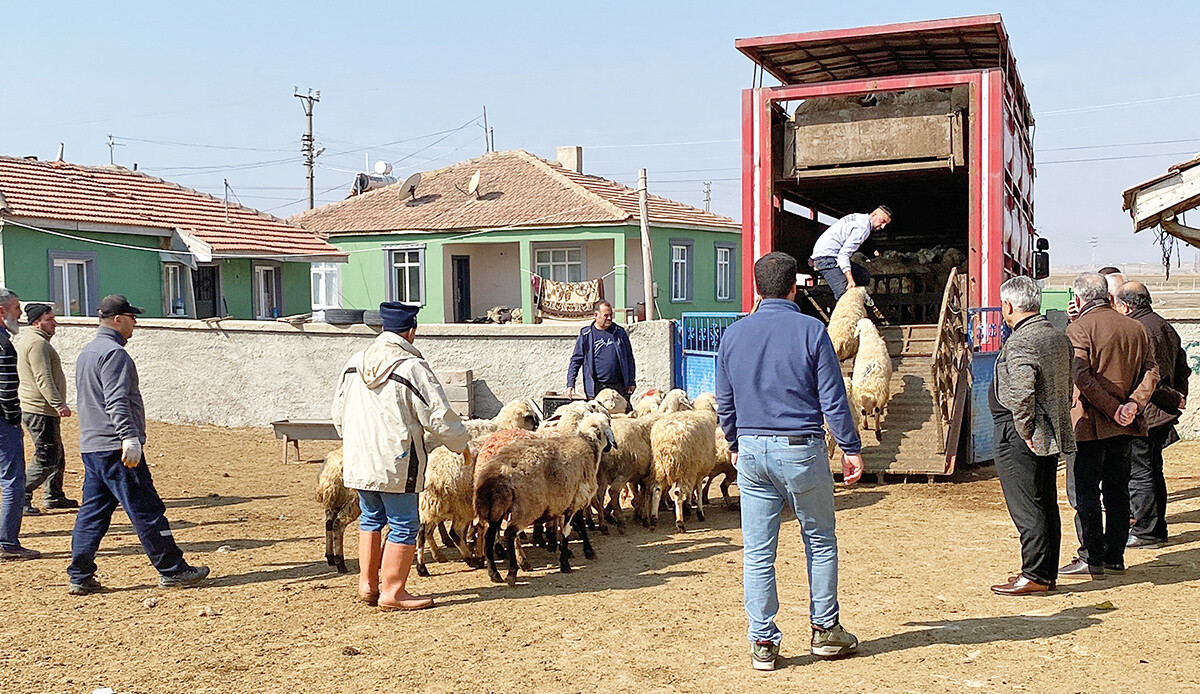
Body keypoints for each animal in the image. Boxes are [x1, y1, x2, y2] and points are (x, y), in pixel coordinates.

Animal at [472, 410, 614, 583]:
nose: (610, 447)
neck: (588, 444)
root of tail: (496, 473)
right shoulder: (575, 499)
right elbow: (568, 530)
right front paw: (568, 562)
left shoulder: (566, 501)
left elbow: (573, 525)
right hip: (526, 508)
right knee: (510, 534)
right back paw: (514, 570)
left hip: (494, 510)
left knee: (489, 537)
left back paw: (494, 573)